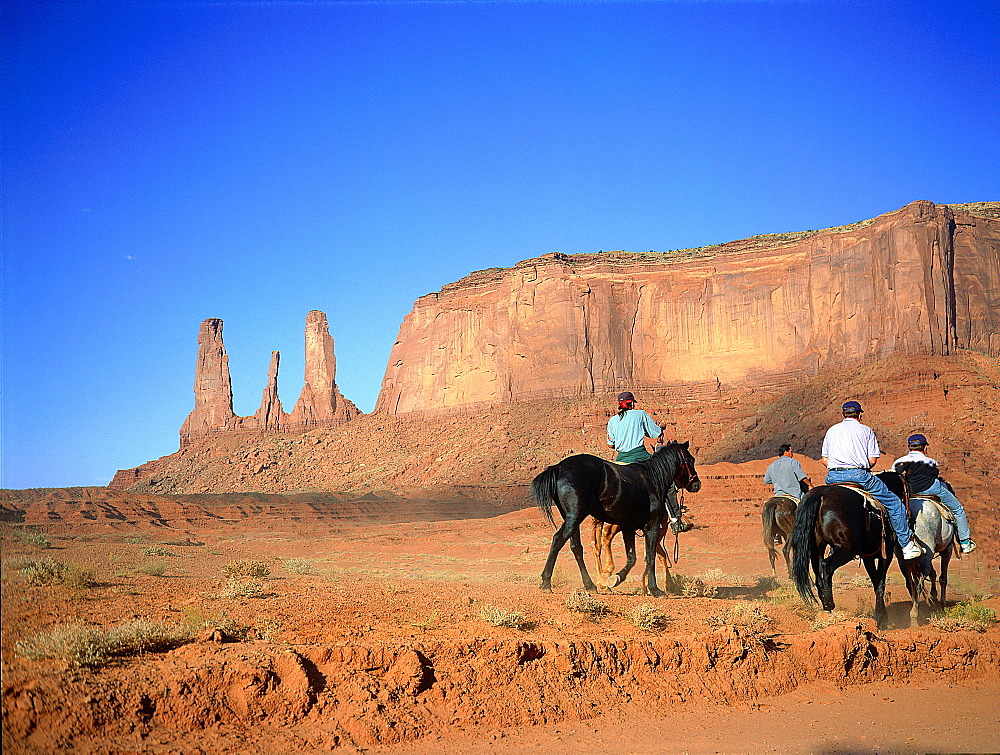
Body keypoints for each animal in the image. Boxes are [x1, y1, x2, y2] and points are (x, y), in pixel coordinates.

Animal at [532, 442, 704, 596]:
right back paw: (546, 582)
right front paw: (655, 589)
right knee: (558, 540)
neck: (653, 478)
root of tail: (559, 467)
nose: (697, 484)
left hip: (572, 519)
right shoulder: (652, 527)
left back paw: (591, 585)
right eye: (691, 459)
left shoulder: (628, 527)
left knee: (577, 547)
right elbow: (651, 557)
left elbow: (632, 557)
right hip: (574, 517)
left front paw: (616, 578)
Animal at [792, 476, 912, 628]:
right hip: (847, 549)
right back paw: (829, 604)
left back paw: (824, 604)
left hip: (816, 550)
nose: (909, 515)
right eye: (908, 490)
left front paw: (880, 615)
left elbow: (875, 583)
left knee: (818, 574)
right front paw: (882, 619)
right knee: (826, 565)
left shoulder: (868, 557)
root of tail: (821, 495)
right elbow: (880, 584)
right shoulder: (886, 554)